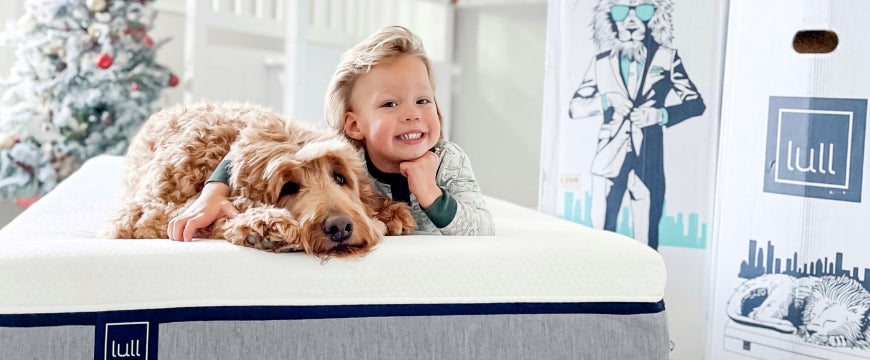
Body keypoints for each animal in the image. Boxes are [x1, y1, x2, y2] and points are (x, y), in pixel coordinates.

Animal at [102, 102, 416, 258]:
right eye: (288, 187)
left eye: (340, 177)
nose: (340, 227)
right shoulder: (140, 215)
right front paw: (263, 225)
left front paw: (390, 211)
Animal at [568, 0, 704, 250]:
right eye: (619, 11)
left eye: (644, 10)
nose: (631, 27)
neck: (632, 54)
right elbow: (576, 103)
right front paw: (617, 102)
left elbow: (694, 102)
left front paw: (647, 115)